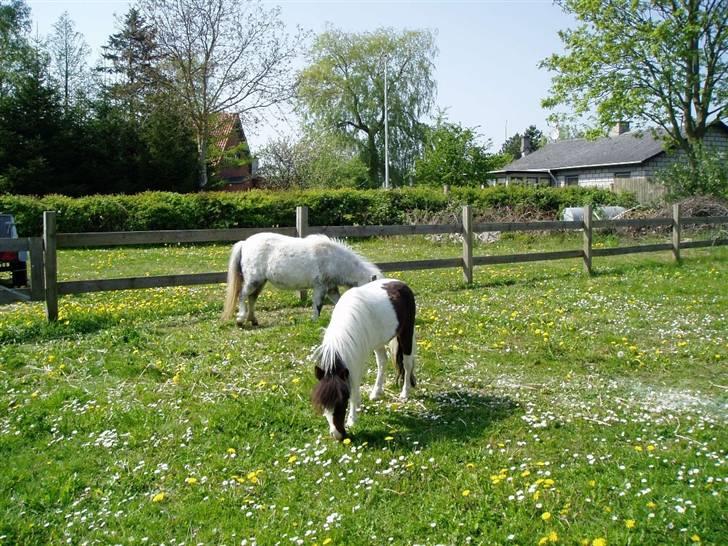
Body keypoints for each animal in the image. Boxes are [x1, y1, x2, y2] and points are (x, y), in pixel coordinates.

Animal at [220, 232, 382, 326]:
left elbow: (338, 302)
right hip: (253, 281)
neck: (333, 259)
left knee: (252, 298)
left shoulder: (331, 288)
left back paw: (253, 320)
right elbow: (318, 305)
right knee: (242, 296)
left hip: (260, 282)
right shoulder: (320, 287)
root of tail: (244, 243)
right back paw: (240, 320)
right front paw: (314, 322)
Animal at [312, 278, 418, 440]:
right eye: (324, 404)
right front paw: (358, 405)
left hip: (406, 334)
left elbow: (355, 384)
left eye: (343, 400)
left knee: (407, 365)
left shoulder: (357, 358)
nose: (337, 435)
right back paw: (376, 392)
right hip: (379, 342)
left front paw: (352, 419)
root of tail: (400, 283)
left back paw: (404, 393)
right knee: (382, 362)